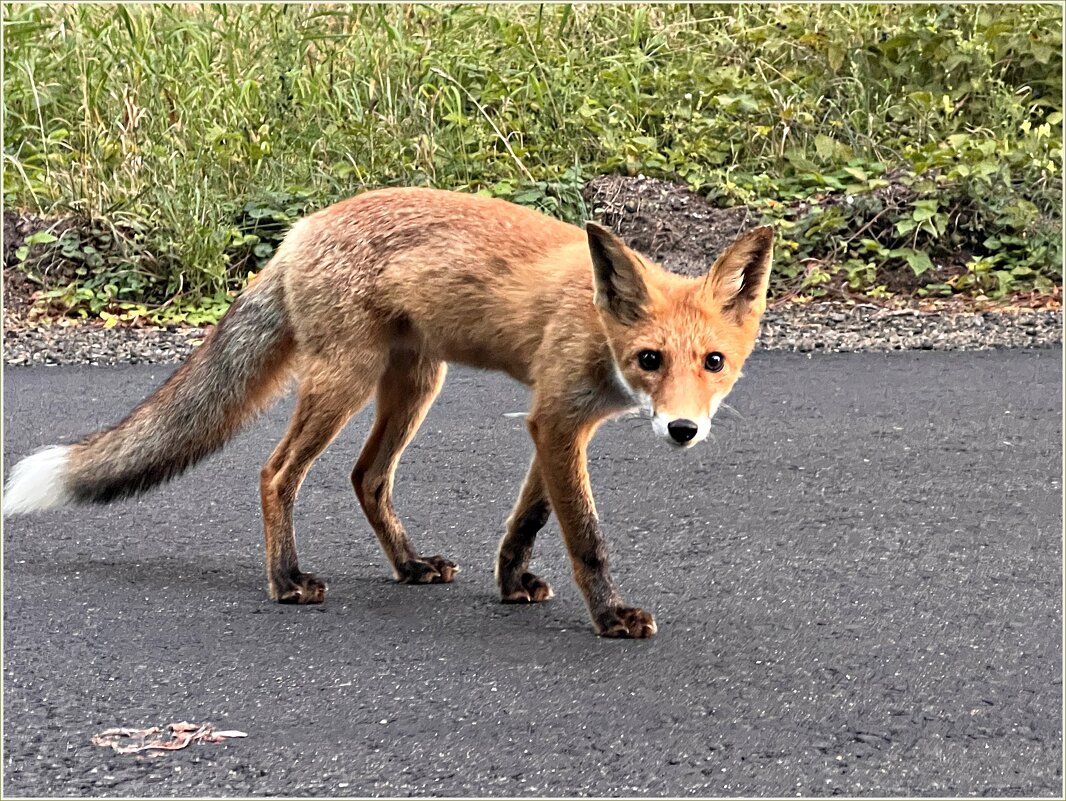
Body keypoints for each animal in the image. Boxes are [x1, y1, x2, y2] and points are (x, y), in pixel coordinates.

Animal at [2, 186, 776, 639]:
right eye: (650, 359)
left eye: (714, 362)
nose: (683, 429)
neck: (595, 321)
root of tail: (302, 228)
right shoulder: (558, 420)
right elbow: (586, 537)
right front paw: (610, 615)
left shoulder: (555, 423)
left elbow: (525, 522)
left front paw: (510, 583)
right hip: (344, 383)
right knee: (276, 474)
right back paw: (287, 580)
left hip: (416, 383)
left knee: (366, 478)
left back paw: (407, 565)